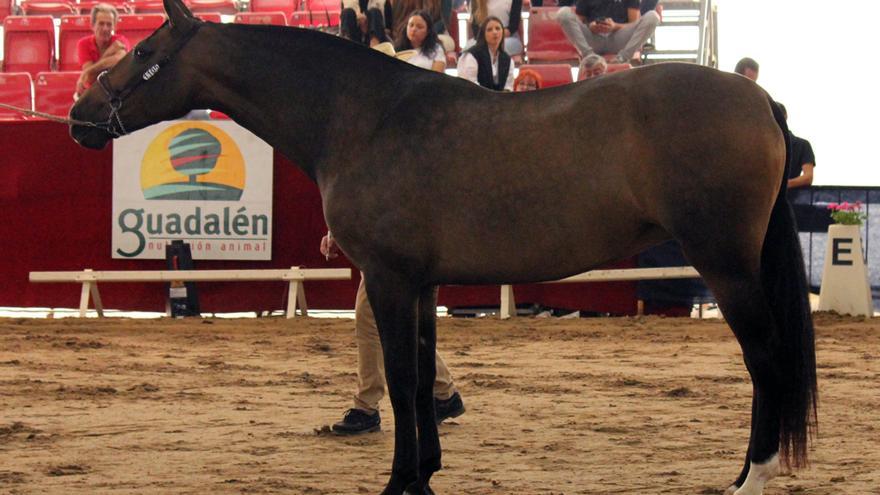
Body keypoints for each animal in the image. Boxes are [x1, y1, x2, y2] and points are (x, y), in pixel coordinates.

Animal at [69, 1, 820, 494]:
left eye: (142, 54)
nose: (79, 117)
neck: (362, 117)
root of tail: (759, 100)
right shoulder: (423, 284)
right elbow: (425, 376)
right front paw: (425, 473)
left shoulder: (389, 278)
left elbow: (404, 381)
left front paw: (400, 483)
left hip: (726, 265)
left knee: (765, 359)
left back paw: (750, 478)